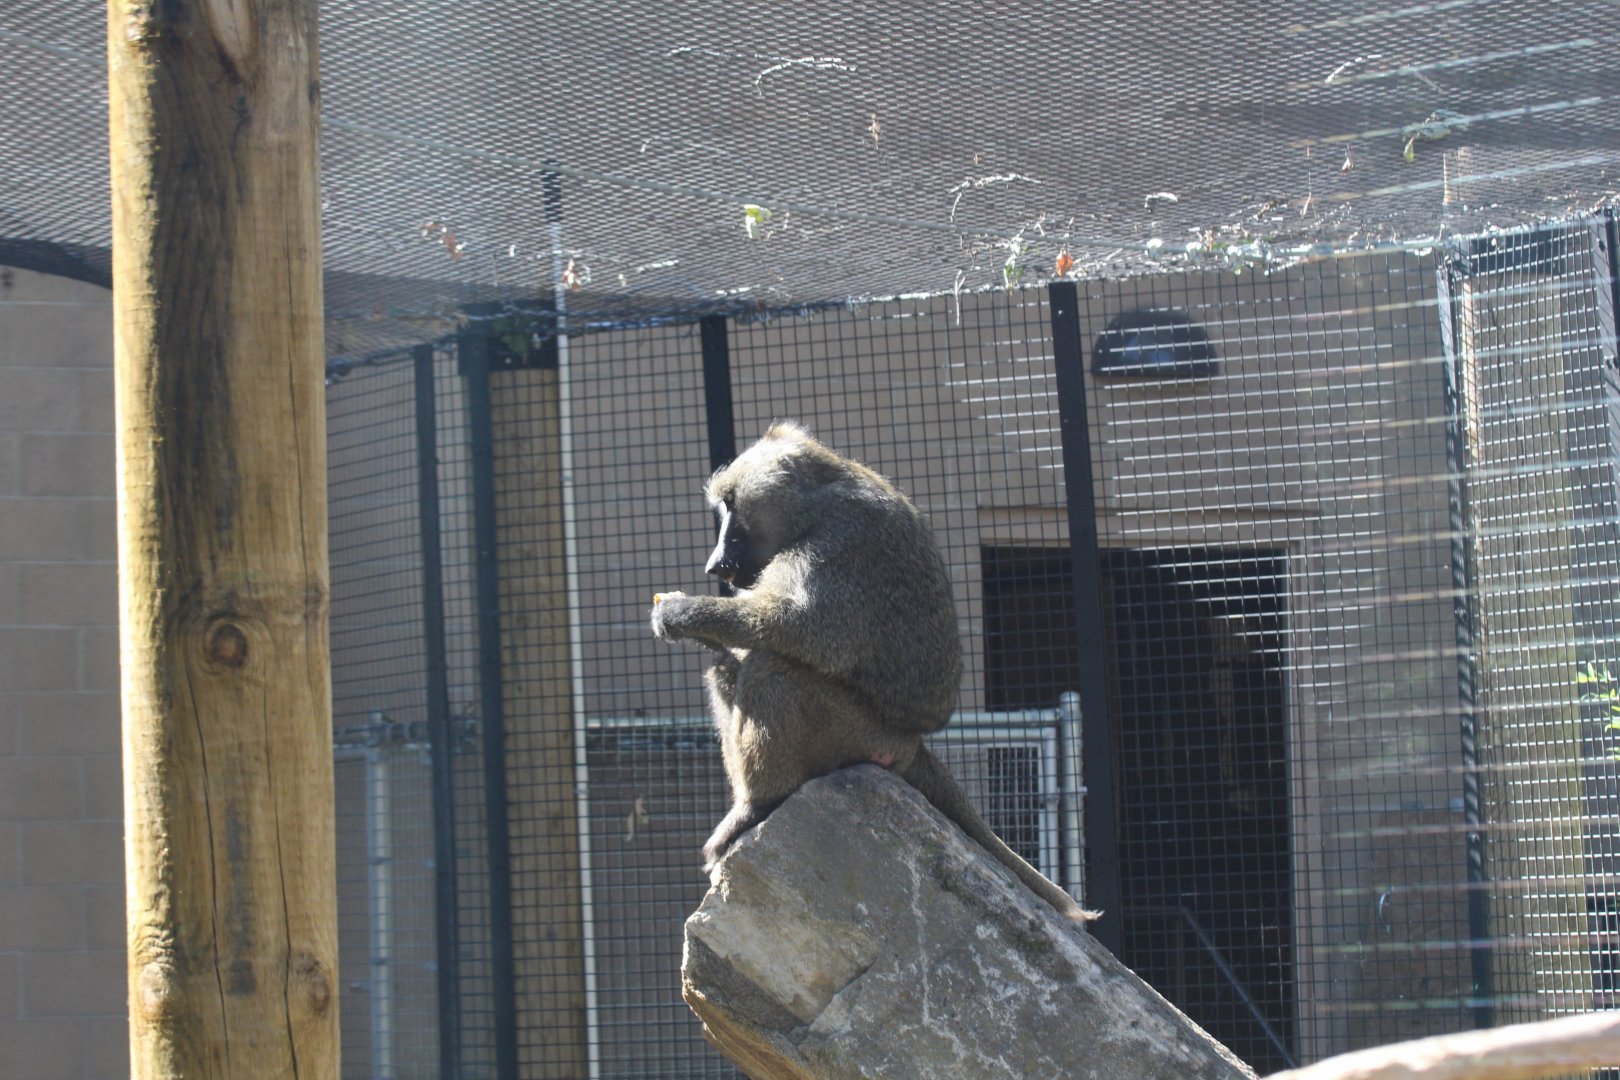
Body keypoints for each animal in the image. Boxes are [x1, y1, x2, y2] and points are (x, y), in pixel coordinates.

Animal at [650, 421, 1094, 922]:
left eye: (730, 506)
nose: (714, 564)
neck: (817, 502)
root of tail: (912, 744)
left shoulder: (836, 545)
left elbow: (797, 629)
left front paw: (681, 611)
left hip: (859, 736)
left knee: (771, 669)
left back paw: (756, 804)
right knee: (730, 670)